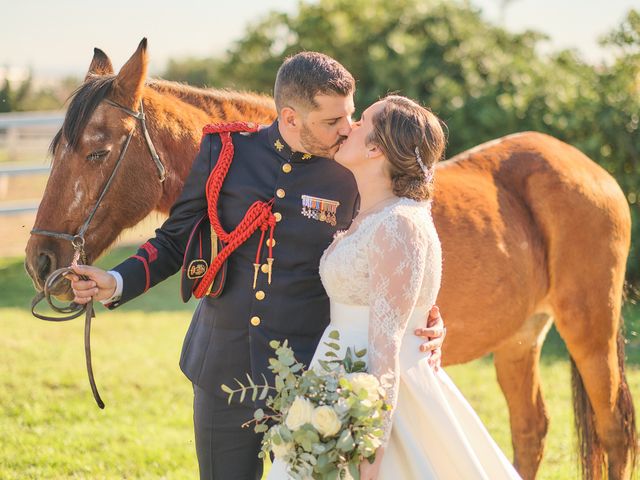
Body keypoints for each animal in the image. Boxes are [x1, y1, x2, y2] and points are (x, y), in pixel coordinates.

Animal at [23, 41, 636, 480]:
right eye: (56, 149)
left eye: (98, 151)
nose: (42, 259)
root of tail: (590, 169)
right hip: (520, 338)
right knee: (531, 431)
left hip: (589, 328)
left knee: (613, 430)